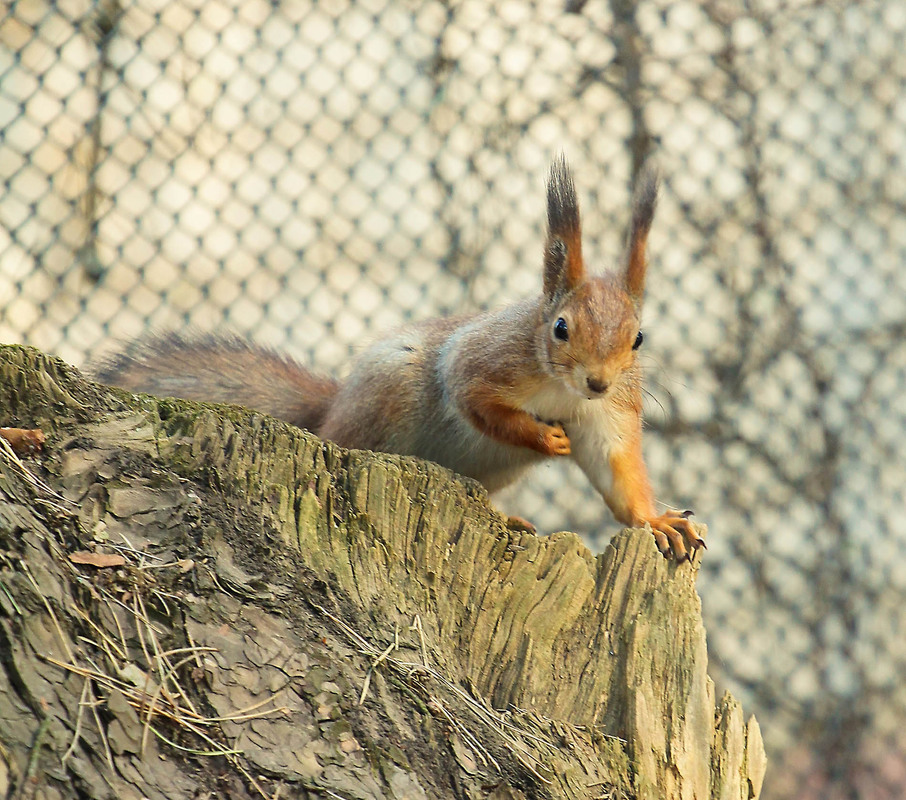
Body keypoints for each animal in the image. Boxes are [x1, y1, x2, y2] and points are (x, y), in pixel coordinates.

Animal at [99, 158, 704, 564]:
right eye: (561, 328)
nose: (598, 381)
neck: (561, 389)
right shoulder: (480, 361)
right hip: (385, 402)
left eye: (638, 338)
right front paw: (541, 437)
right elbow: (477, 402)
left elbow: (617, 472)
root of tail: (332, 410)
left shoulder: (609, 415)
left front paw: (659, 522)